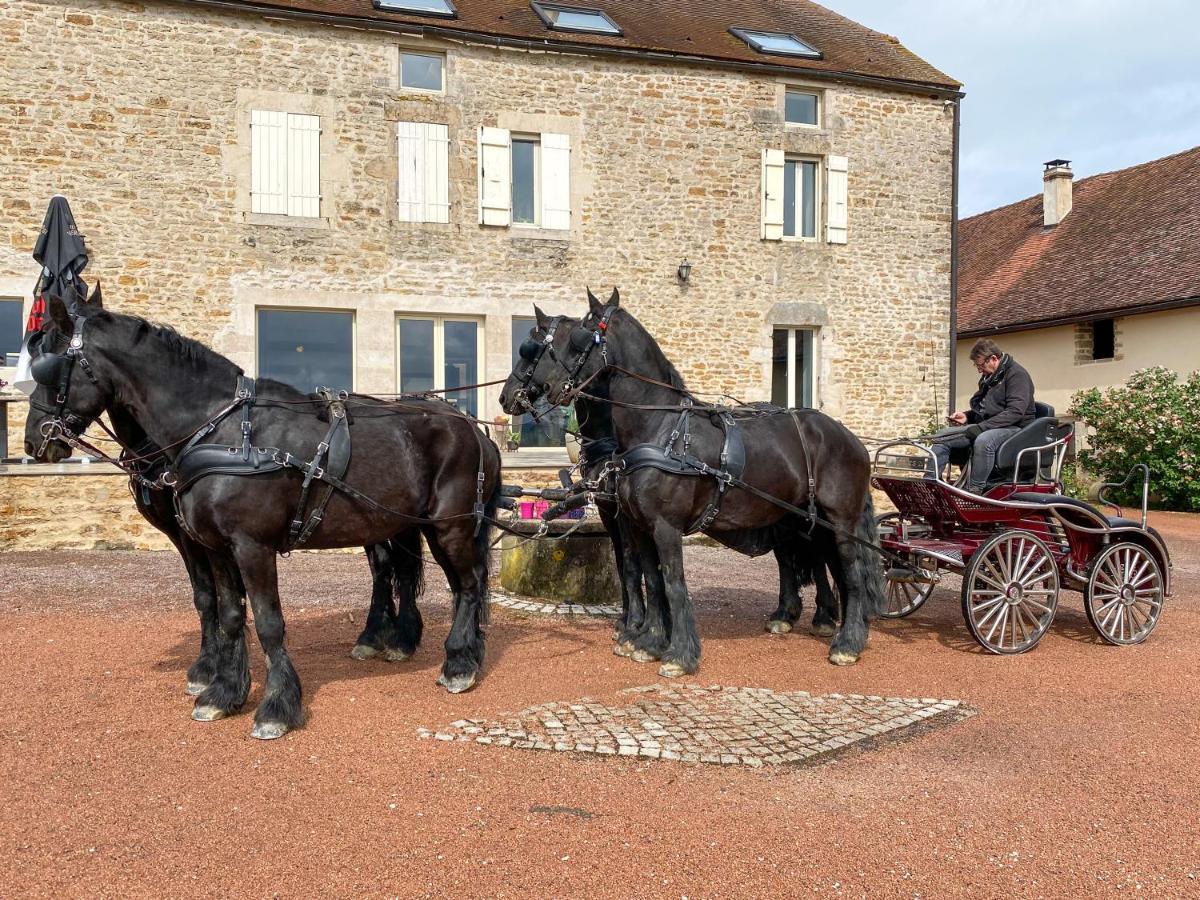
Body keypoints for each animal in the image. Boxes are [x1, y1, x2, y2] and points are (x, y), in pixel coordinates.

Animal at [23, 289, 501, 739]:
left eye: (47, 368)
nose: (33, 442)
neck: (223, 432)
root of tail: (472, 427)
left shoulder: (252, 546)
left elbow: (269, 623)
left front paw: (276, 706)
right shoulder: (215, 547)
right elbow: (228, 612)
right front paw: (222, 691)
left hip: (451, 526)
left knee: (468, 584)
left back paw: (459, 662)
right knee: (427, 579)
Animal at [511, 290, 888, 676]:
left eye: (579, 339)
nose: (545, 390)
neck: (661, 430)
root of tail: (850, 438)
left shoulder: (664, 526)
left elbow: (673, 583)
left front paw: (678, 653)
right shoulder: (638, 525)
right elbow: (650, 579)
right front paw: (647, 641)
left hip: (839, 520)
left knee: (852, 572)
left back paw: (847, 641)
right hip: (799, 518)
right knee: (807, 561)